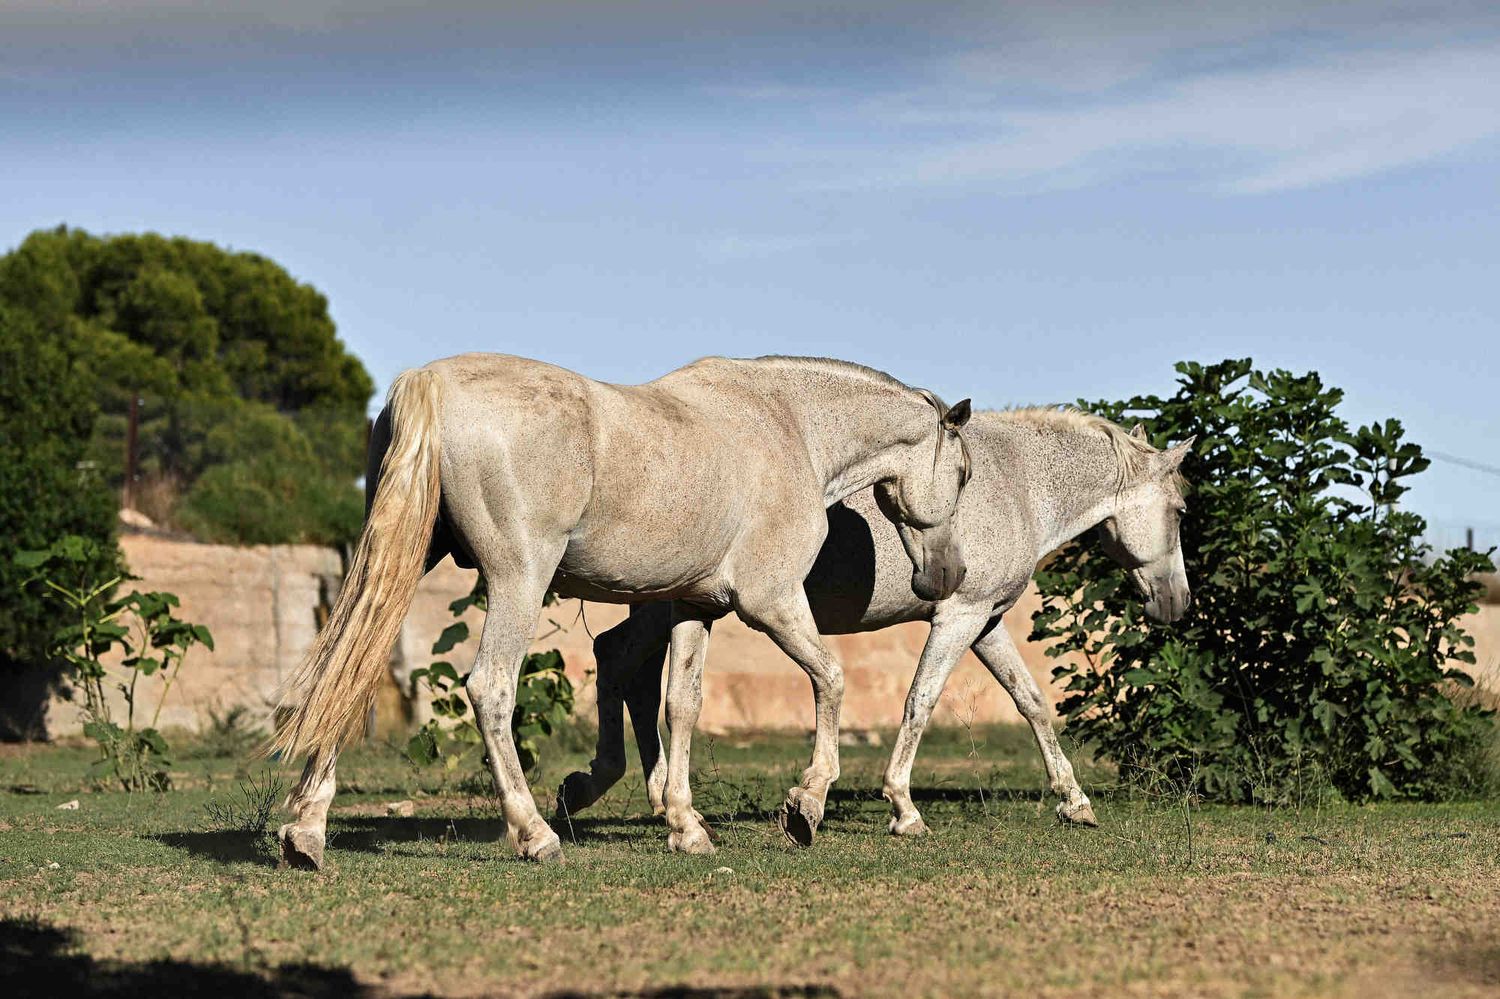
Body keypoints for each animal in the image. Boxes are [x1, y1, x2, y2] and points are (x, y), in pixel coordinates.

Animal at [271, 353, 972, 866]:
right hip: (518, 582)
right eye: (964, 474)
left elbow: (681, 706)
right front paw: (807, 804)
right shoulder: (770, 603)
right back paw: (534, 834)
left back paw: (306, 832)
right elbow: (830, 677)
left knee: (348, 672)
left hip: (400, 561)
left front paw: (686, 826)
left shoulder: (694, 606)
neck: (788, 428)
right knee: (491, 687)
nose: (948, 576)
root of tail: (430, 383)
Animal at [556, 408, 1192, 835]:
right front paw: (902, 807)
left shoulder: (985, 622)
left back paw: (631, 793)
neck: (1018, 487)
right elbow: (920, 702)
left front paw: (1074, 799)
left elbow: (1031, 702)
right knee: (623, 665)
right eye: (1182, 510)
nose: (1176, 604)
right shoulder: (958, 618)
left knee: (625, 667)